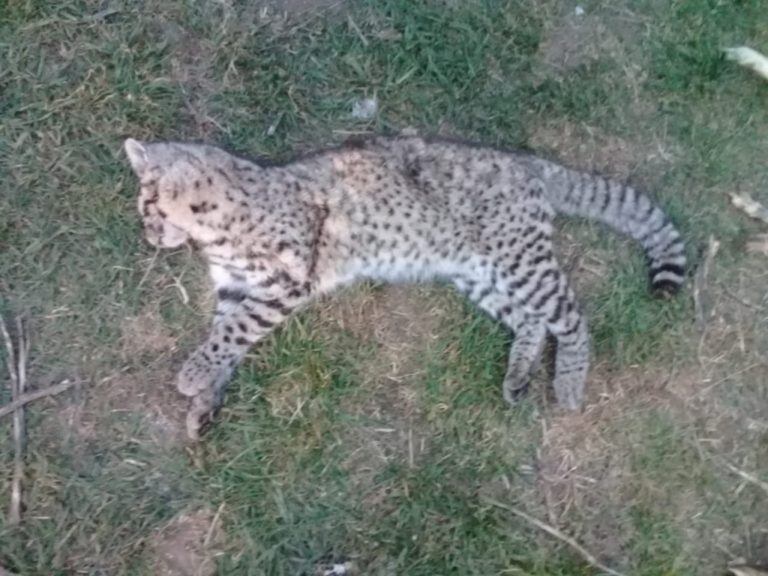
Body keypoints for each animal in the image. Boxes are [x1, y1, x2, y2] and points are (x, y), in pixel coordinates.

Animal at [123, 136, 688, 440]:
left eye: (149, 208)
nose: (148, 235)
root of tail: (527, 161)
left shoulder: (285, 280)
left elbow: (232, 334)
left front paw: (194, 377)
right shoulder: (237, 290)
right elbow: (227, 341)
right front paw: (205, 399)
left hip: (520, 259)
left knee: (571, 316)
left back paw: (568, 381)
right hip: (478, 271)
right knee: (531, 319)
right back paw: (518, 375)